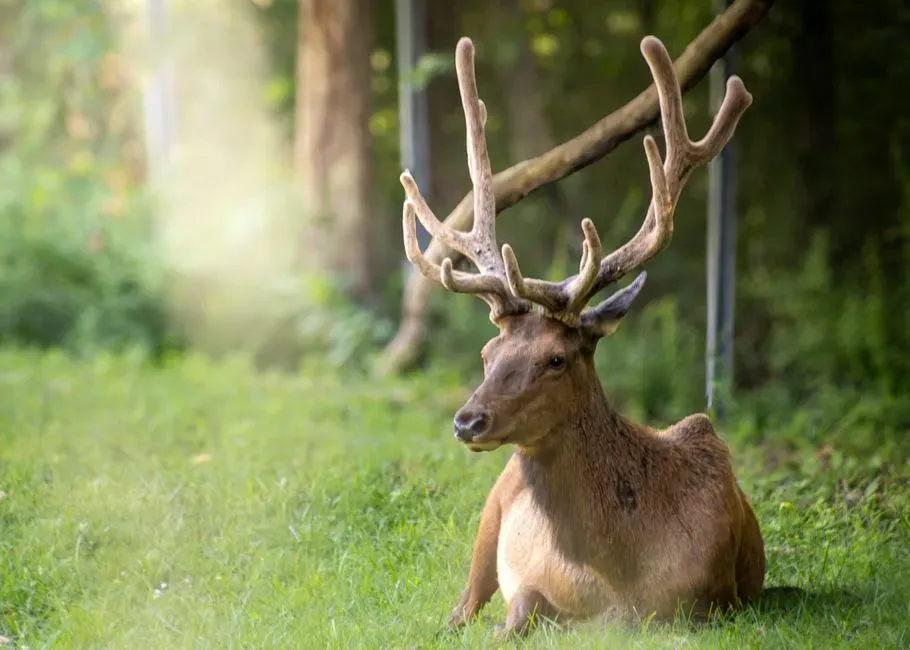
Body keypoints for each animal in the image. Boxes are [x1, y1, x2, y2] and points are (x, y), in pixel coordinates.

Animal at [398, 35, 766, 638]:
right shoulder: (530, 578)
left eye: (556, 358)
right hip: (490, 512)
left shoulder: (712, 602)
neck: (618, 574)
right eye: (487, 352)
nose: (467, 420)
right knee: (462, 605)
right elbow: (516, 612)